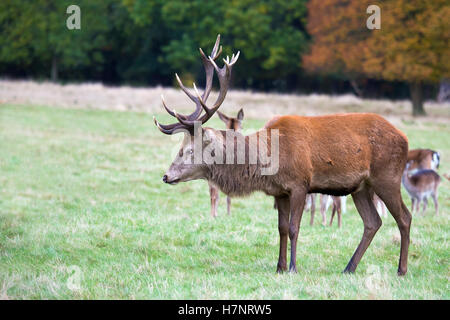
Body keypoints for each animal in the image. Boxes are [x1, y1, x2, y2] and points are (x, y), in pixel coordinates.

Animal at [154, 34, 412, 276]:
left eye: (188, 150)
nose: (166, 176)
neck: (267, 160)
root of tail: (404, 138)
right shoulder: (279, 192)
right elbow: (282, 228)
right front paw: (279, 266)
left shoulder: (300, 184)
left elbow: (295, 227)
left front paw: (293, 268)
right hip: (360, 187)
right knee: (372, 222)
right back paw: (349, 267)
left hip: (387, 176)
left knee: (404, 217)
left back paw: (401, 270)